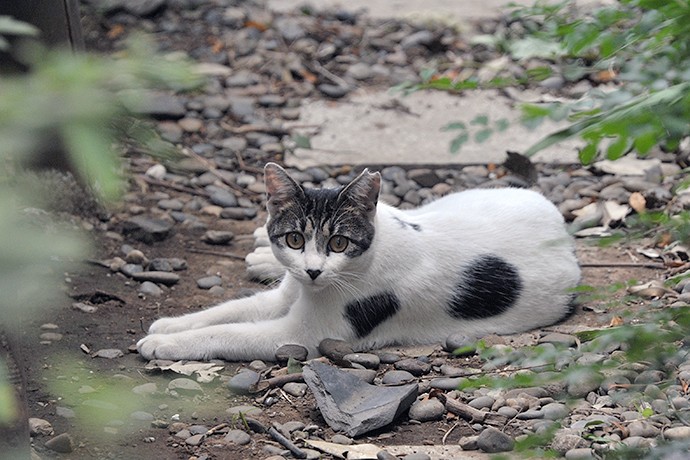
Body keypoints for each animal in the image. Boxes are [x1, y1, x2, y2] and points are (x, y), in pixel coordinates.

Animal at [137, 164, 576, 362]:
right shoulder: (284, 295)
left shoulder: (302, 333)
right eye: (295, 239)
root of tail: (566, 237)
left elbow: (228, 332)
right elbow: (227, 310)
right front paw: (170, 325)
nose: (313, 270)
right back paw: (262, 251)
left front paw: (165, 343)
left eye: (339, 243)